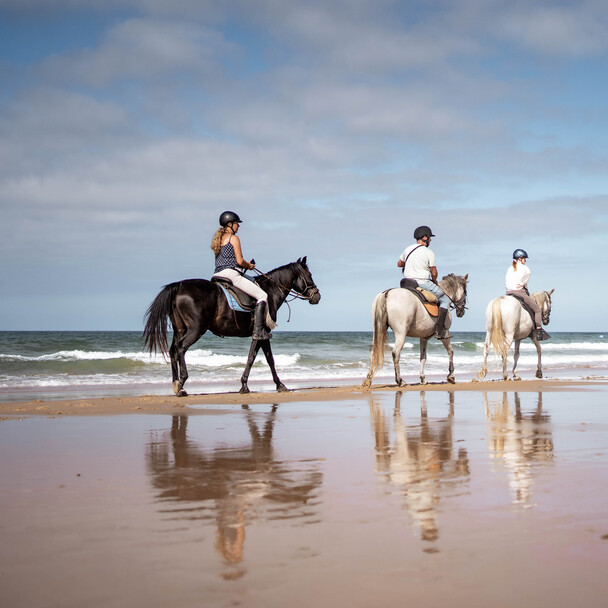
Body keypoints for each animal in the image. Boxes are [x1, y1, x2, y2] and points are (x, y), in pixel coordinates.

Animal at [144, 255, 320, 394]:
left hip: (180, 329)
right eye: (309, 274)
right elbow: (262, 359)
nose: (317, 296)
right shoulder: (262, 333)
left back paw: (176, 384)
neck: (269, 292)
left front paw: (248, 385)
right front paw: (275, 385)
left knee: (173, 350)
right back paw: (181, 382)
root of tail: (179, 285)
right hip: (195, 329)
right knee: (180, 348)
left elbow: (258, 357)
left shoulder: (259, 335)